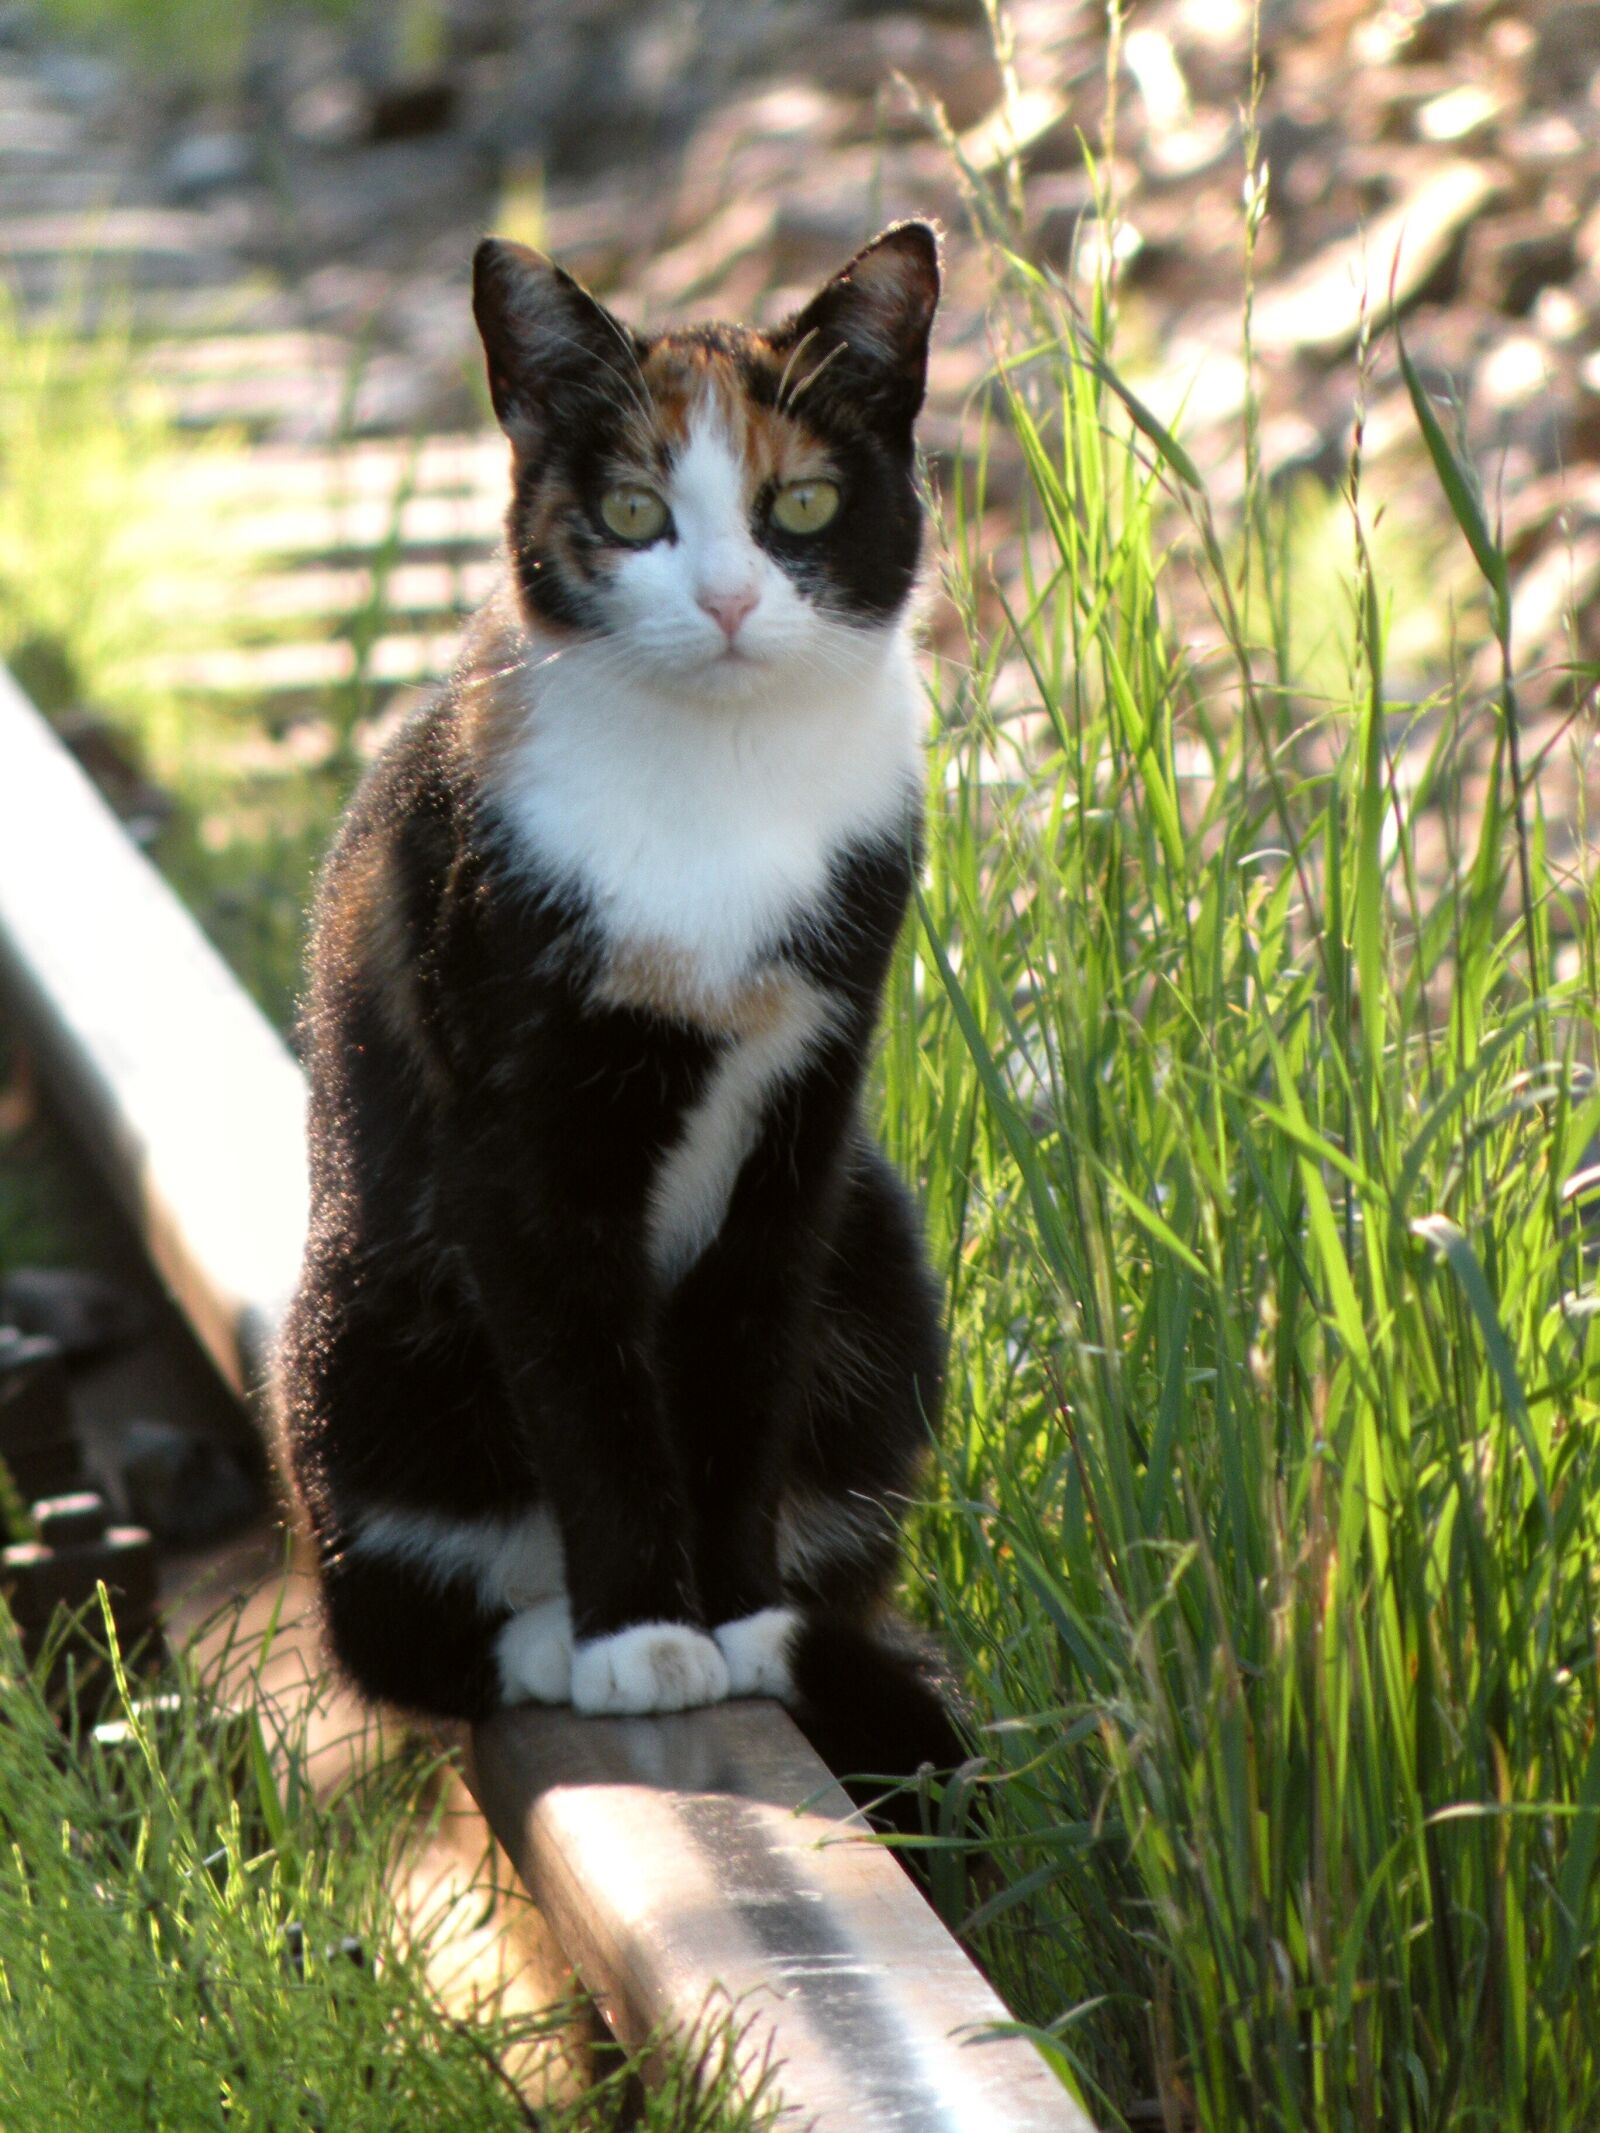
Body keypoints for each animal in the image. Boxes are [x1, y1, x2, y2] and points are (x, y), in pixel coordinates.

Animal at [277, 216, 964, 1783]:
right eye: (636, 511)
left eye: (803, 502)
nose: (726, 598)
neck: (724, 786)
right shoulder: (520, 1127)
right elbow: (587, 1383)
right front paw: (641, 1637)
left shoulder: (806, 1113)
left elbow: (744, 1365)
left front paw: (733, 1614)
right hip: (359, 1323)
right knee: (385, 1625)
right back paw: (542, 1632)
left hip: (881, 1252)